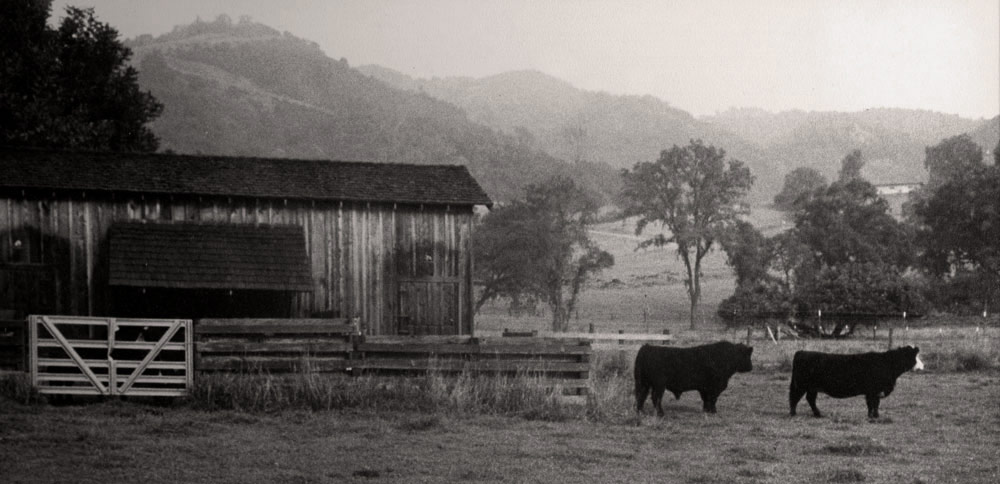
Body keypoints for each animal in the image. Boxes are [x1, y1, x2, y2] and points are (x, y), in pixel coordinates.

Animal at [792, 344, 924, 420]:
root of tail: (802, 351)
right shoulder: (874, 390)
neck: (887, 363)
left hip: (812, 388)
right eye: (915, 356)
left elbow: (872, 404)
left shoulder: (872, 391)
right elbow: (874, 403)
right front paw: (874, 416)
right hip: (801, 385)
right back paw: (793, 413)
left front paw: (873, 415)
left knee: (810, 399)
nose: (922, 366)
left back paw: (818, 414)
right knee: (795, 398)